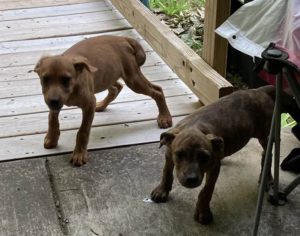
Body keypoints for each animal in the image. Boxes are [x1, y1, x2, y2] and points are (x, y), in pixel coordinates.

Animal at [34, 36, 172, 167]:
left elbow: (83, 131)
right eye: (45, 79)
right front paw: (52, 138)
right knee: (117, 87)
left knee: (158, 91)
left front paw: (79, 154)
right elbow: (52, 119)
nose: (53, 101)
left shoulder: (89, 104)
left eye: (66, 79)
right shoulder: (54, 103)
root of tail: (124, 38)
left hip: (133, 79)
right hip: (109, 75)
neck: (73, 89)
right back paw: (101, 105)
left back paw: (164, 117)